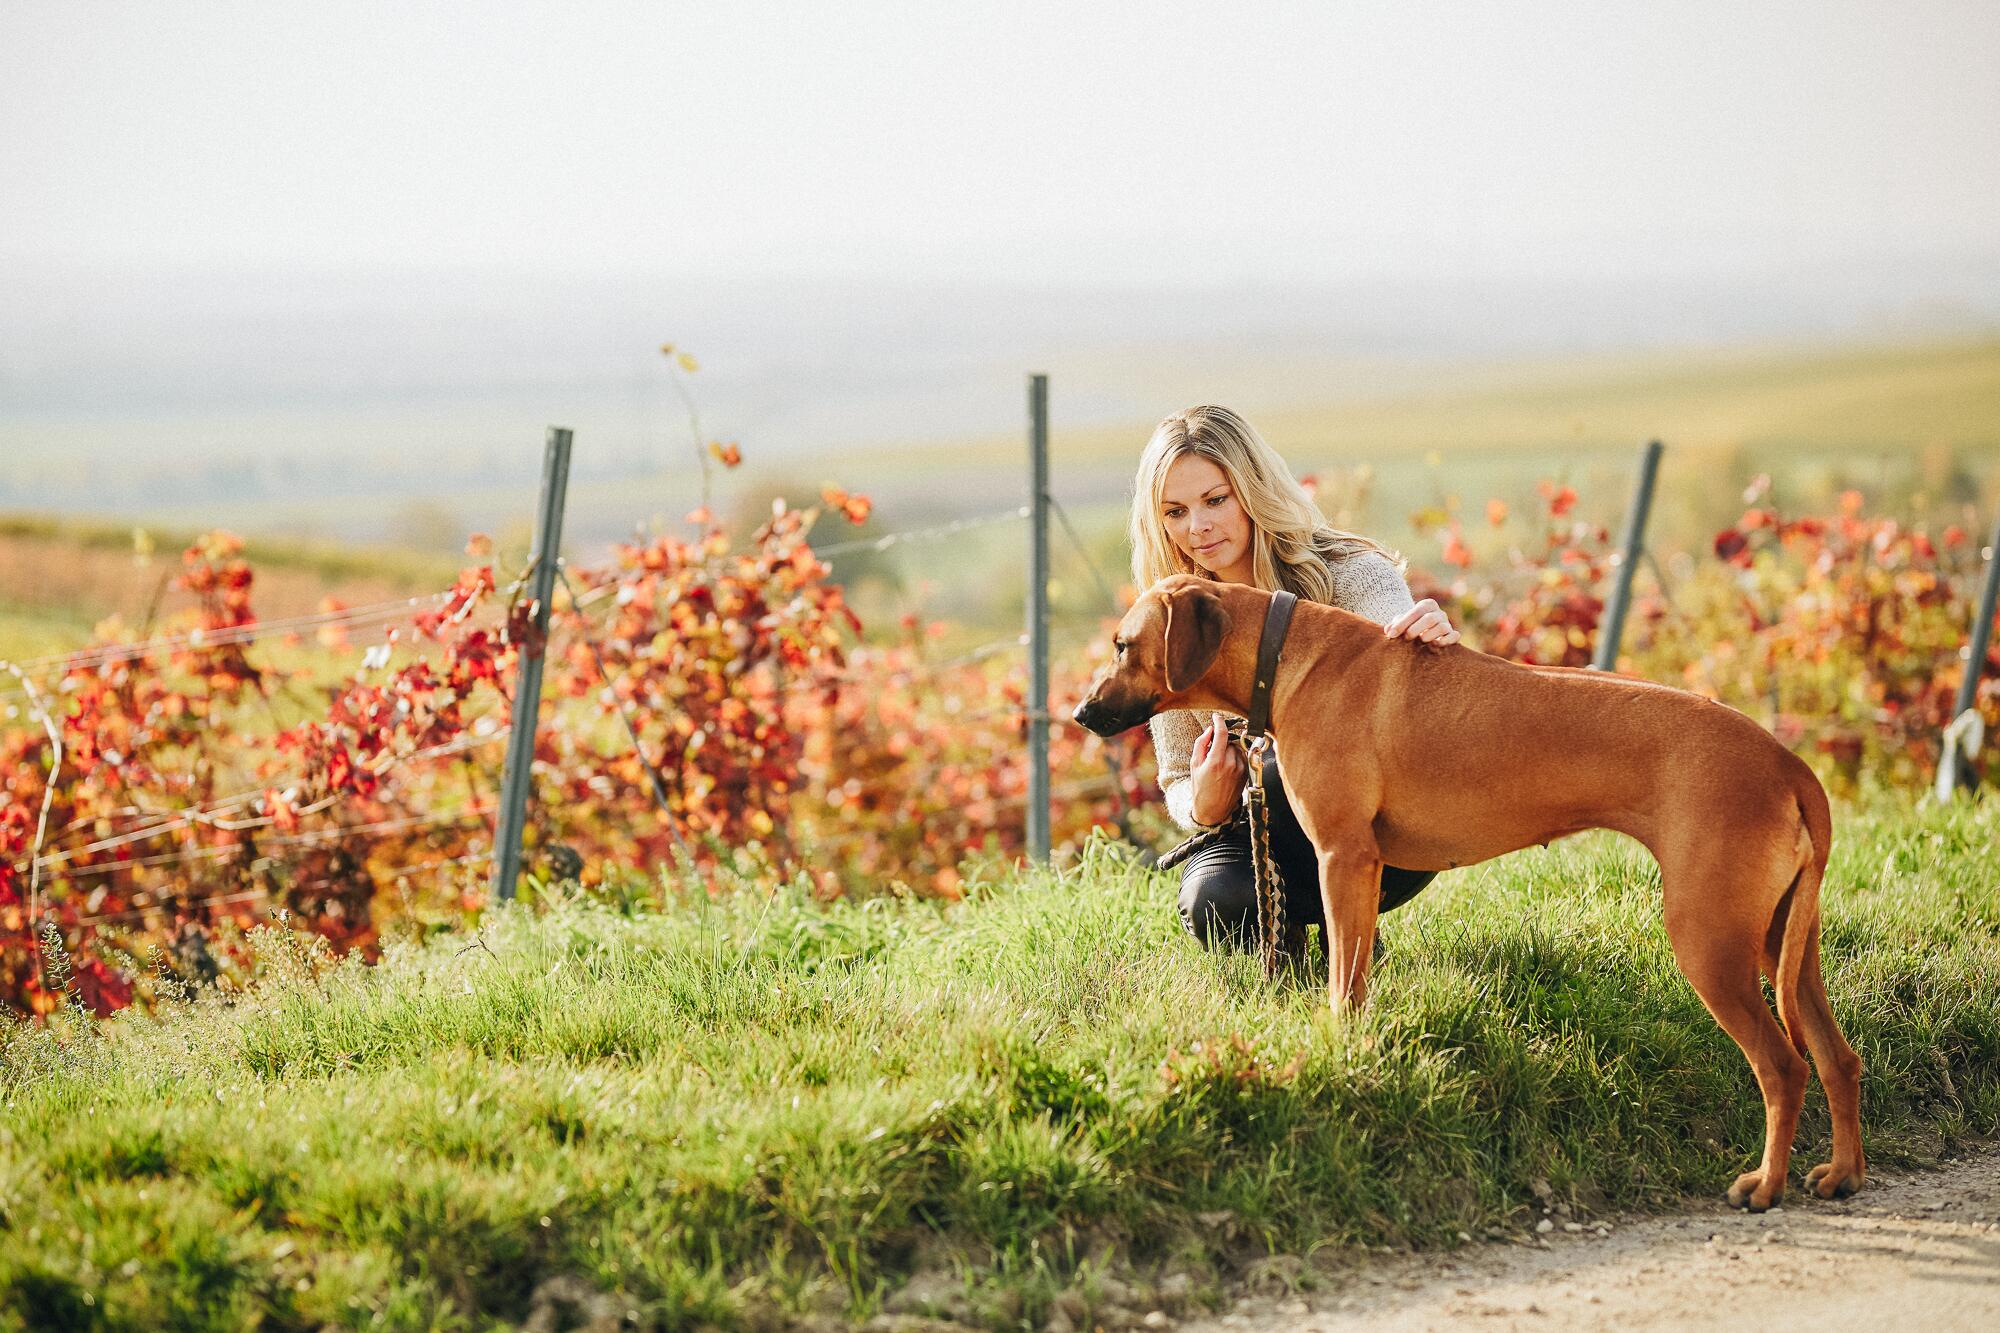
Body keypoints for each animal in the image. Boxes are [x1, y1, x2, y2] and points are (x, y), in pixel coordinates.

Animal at [1088, 572, 1864, 1200]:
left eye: (1124, 645)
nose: (1081, 713)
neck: (1286, 655)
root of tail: (1786, 762)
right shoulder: (1358, 867)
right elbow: (1355, 975)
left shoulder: (1344, 857)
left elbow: (1343, 981)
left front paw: (1342, 1045)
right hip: (1783, 941)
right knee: (1837, 1057)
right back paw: (1843, 1173)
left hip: (1710, 938)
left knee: (1784, 1066)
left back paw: (1766, 1184)